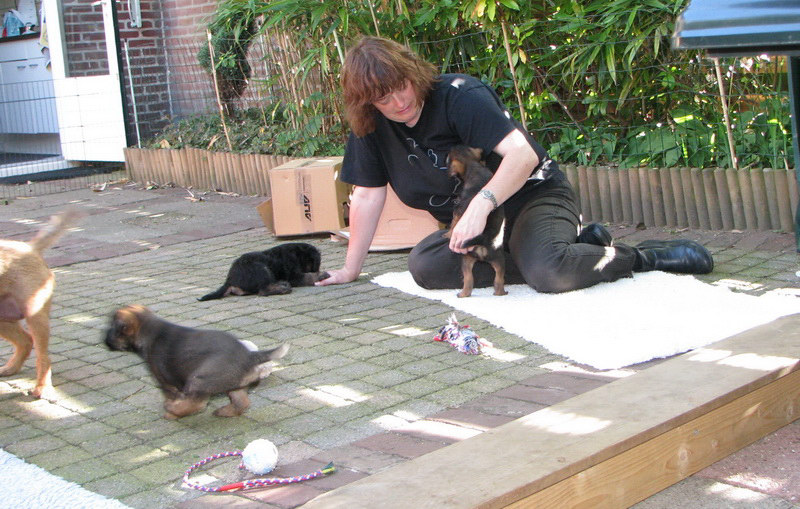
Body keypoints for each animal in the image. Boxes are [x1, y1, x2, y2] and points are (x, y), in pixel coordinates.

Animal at [0, 208, 84, 398]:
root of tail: (30, 248)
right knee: (25, 341)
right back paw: (11, 367)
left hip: (35, 315)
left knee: (42, 356)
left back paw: (43, 387)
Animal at [104, 305, 288, 419]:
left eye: (113, 328)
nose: (105, 341)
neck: (150, 329)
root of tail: (250, 356)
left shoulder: (165, 382)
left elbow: (172, 396)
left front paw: (172, 409)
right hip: (234, 386)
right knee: (242, 402)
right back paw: (224, 411)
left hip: (198, 380)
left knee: (197, 404)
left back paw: (172, 410)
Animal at [198, 242, 328, 301]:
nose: (317, 269)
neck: (297, 255)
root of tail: (229, 280)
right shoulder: (294, 275)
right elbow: (308, 276)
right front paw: (321, 275)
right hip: (261, 268)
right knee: (263, 291)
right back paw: (284, 287)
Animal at [444, 145, 507, 298]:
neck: (474, 166)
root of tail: (484, 240)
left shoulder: (459, 208)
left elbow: (454, 222)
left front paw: (448, 234)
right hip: (493, 261)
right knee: (496, 278)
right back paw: (498, 293)